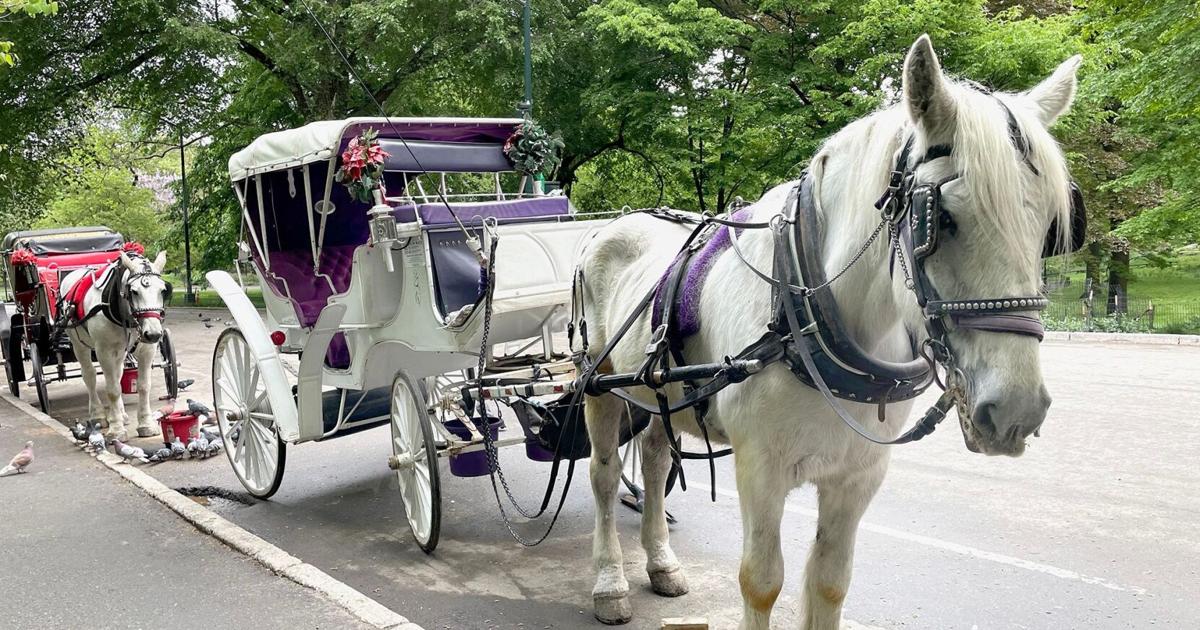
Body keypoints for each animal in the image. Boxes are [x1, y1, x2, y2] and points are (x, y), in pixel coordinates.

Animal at [59, 250, 171, 441]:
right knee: (90, 376)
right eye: (134, 291)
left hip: (120, 351)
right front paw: (116, 430)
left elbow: (143, 386)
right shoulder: (104, 351)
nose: (154, 334)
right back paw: (98, 414)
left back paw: (119, 414)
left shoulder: (146, 350)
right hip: (79, 345)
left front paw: (145, 424)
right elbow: (112, 389)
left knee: (117, 375)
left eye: (163, 290)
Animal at [575, 35, 1081, 629]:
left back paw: (661, 563)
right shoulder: (760, 469)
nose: (1017, 410)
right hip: (599, 382)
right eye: (942, 219)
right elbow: (762, 582)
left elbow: (830, 582)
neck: (806, 314)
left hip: (660, 391)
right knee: (605, 474)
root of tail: (610, 226)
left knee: (655, 462)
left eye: (1048, 226)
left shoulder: (857, 477)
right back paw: (609, 583)